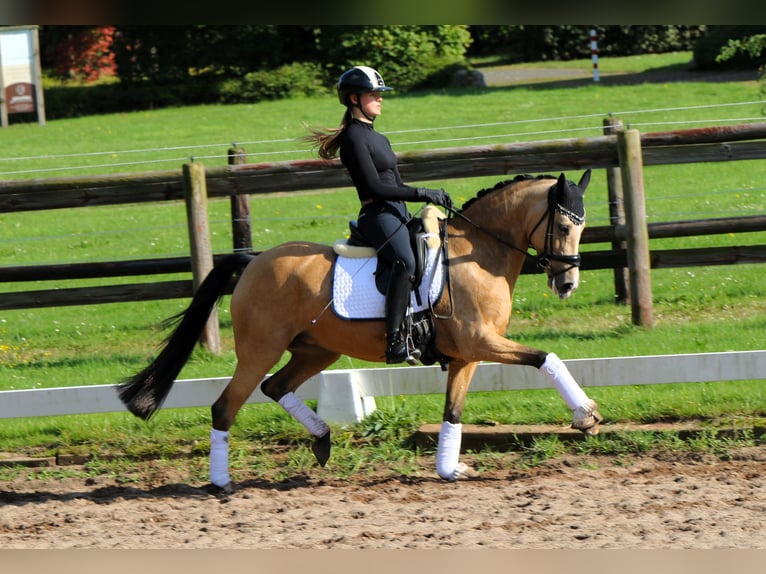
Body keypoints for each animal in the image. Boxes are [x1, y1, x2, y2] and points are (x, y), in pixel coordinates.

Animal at [120, 169, 604, 492]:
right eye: (564, 226)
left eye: (581, 227)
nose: (567, 284)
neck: (477, 252)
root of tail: (253, 261)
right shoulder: (480, 342)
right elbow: (546, 358)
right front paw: (587, 415)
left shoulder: (468, 353)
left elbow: (453, 412)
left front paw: (449, 469)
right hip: (261, 349)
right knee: (226, 405)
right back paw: (222, 482)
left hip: (317, 350)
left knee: (276, 387)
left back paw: (321, 439)